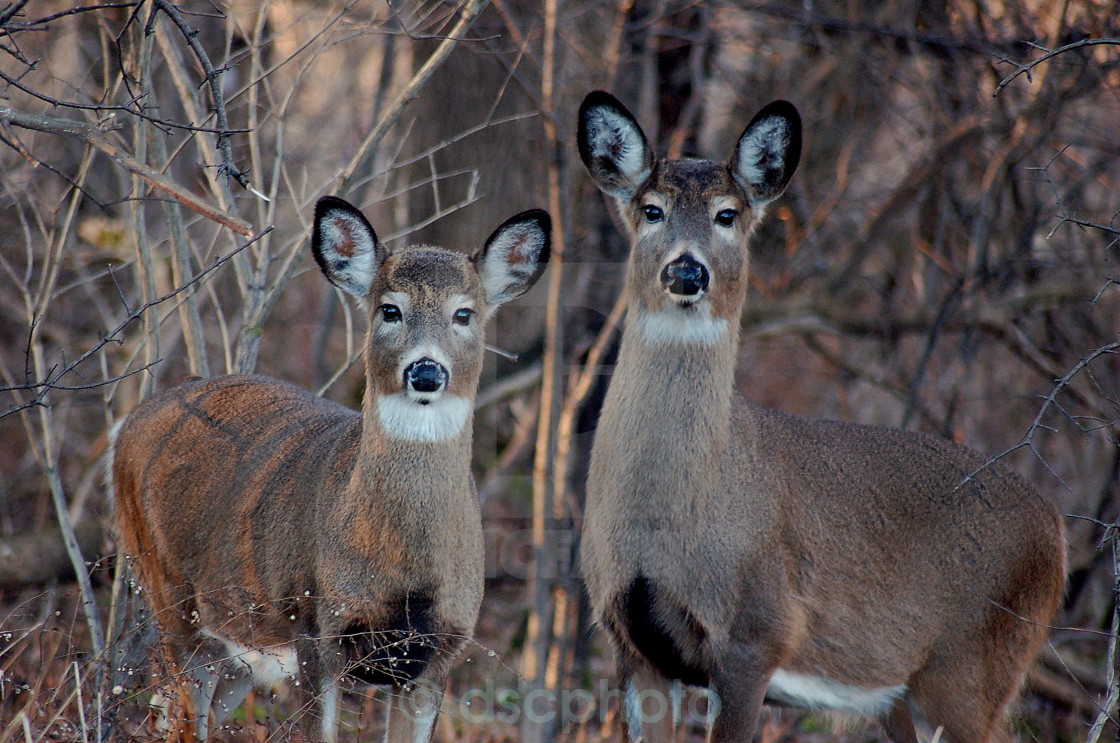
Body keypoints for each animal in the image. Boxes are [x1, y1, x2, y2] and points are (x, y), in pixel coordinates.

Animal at [111, 196, 548, 743]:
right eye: (390, 309)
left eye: (464, 313)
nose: (426, 371)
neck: (403, 575)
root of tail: (130, 423)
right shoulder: (315, 629)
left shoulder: (438, 654)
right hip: (169, 597)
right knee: (177, 716)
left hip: (238, 646)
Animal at [577, 91, 1066, 743]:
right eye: (652, 210)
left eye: (728, 214)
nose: (687, 271)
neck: (665, 527)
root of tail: (1056, 527)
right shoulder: (632, 644)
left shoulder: (758, 633)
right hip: (908, 696)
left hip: (975, 668)